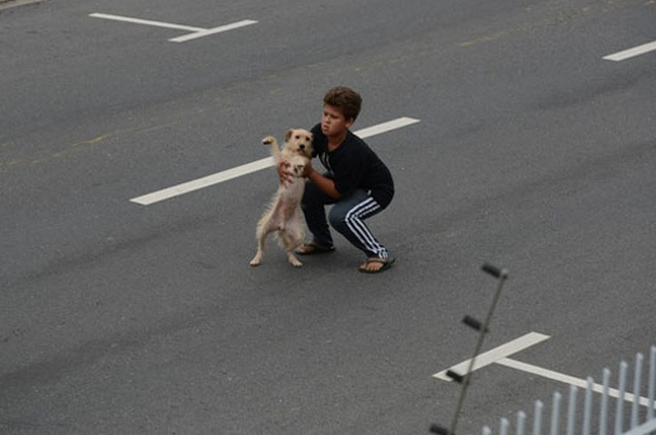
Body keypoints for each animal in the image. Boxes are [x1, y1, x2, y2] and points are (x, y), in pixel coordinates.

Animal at [250, 127, 314, 268]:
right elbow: (275, 147)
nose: (302, 146)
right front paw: (268, 139)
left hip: (298, 235)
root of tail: (281, 225)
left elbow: (302, 160)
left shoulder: (304, 166)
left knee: (289, 249)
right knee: (261, 247)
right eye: (297, 137)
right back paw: (256, 259)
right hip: (263, 229)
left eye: (307, 139)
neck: (293, 152)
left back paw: (295, 260)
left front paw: (300, 160)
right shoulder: (280, 160)